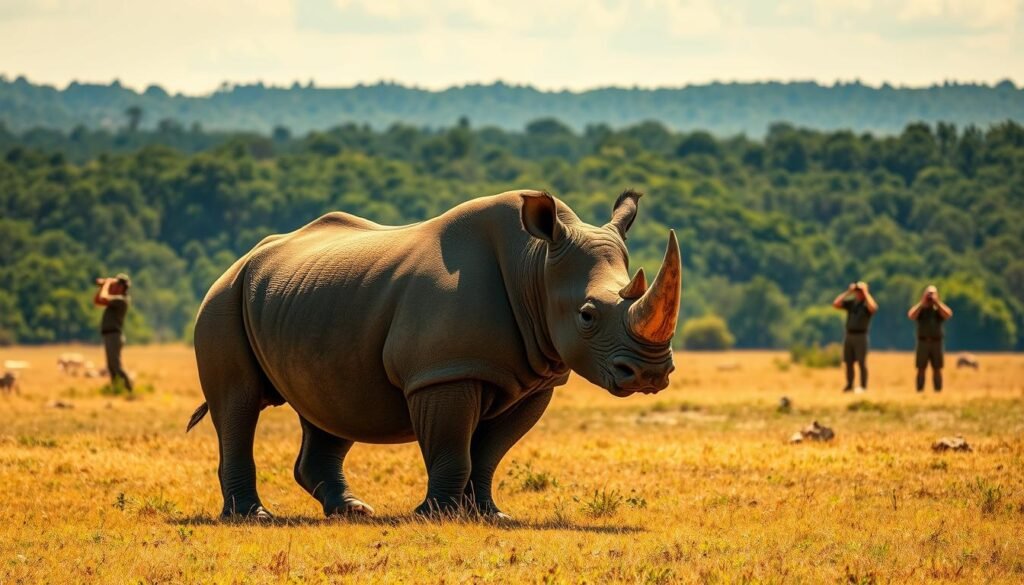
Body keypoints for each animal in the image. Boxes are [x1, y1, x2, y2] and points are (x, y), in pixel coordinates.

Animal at [188, 189, 681, 520]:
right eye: (586, 315)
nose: (650, 375)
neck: (535, 265)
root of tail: (243, 258)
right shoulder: (443, 372)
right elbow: (451, 446)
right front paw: (435, 515)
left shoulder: (530, 380)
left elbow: (489, 453)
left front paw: (488, 516)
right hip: (223, 298)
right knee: (237, 403)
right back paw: (253, 516)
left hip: (314, 300)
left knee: (333, 402)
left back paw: (353, 511)